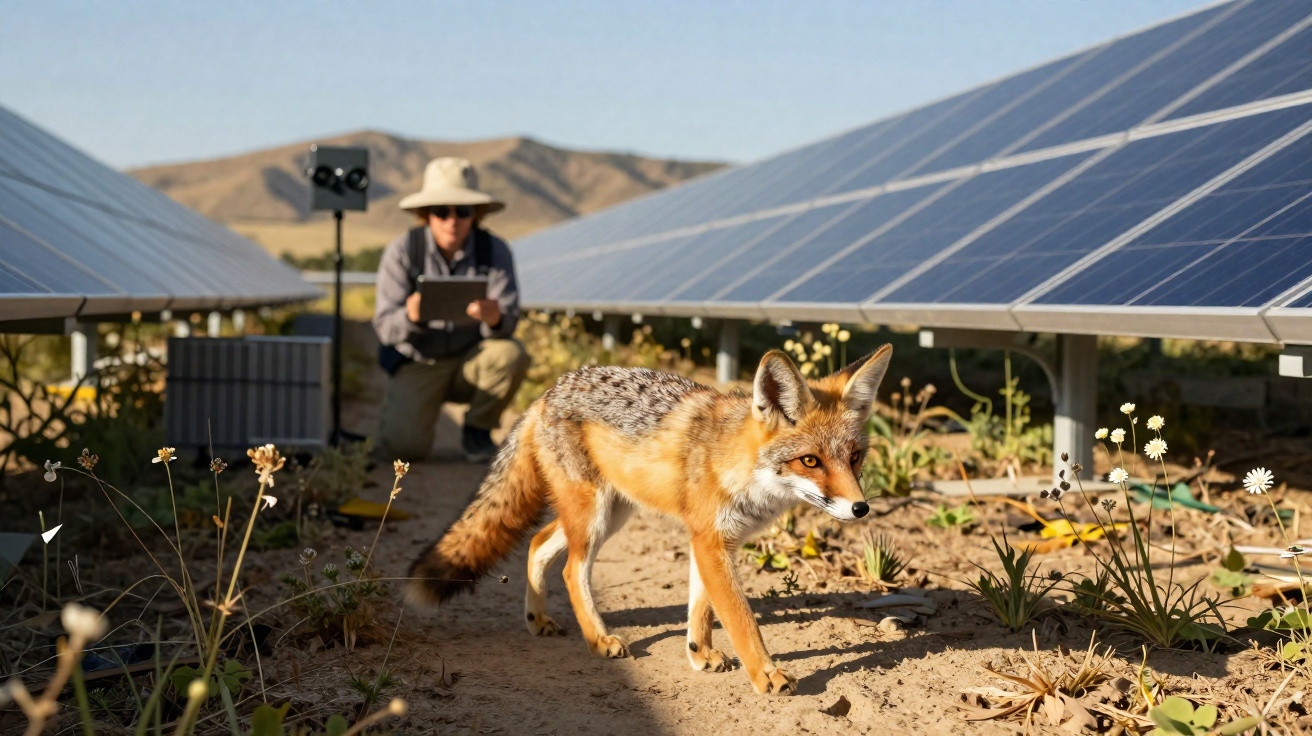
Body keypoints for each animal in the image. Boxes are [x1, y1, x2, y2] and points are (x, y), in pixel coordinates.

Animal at [407, 344, 892, 695]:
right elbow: (741, 618)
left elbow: (702, 608)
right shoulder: (710, 541)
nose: (860, 508)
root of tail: (547, 391)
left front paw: (699, 655)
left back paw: (537, 619)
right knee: (570, 570)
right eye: (810, 461)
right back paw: (598, 639)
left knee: (538, 543)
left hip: (610, 515)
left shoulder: (712, 541)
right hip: (594, 517)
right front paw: (766, 675)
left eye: (854, 458)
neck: (735, 462)